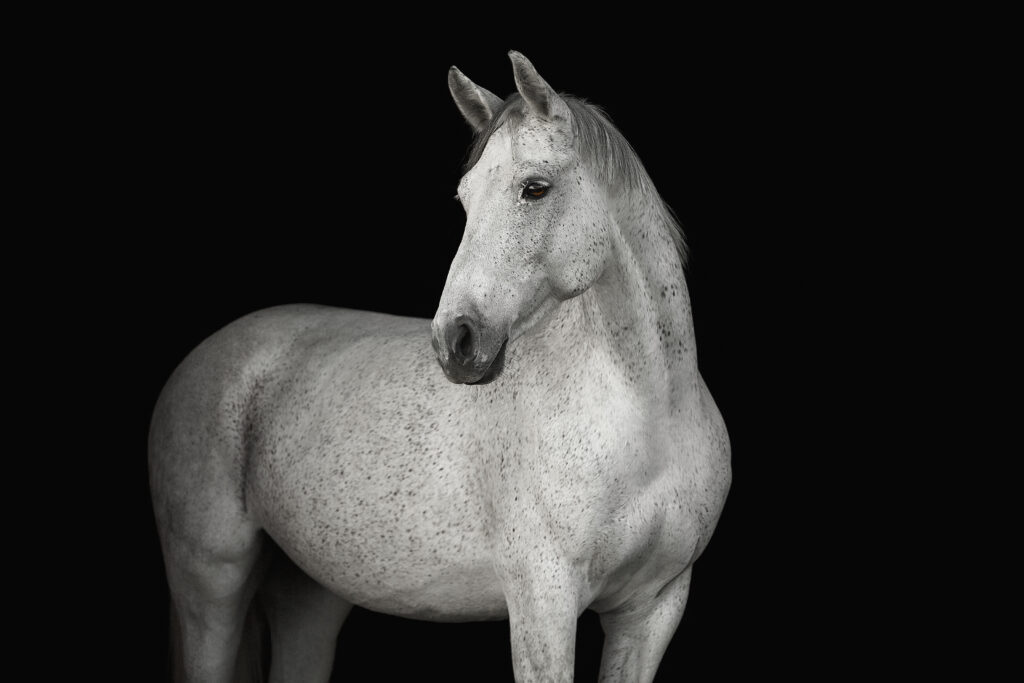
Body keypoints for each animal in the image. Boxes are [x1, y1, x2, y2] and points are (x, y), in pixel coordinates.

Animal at [149, 50, 731, 682]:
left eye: (535, 188)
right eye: (464, 198)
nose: (455, 339)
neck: (652, 420)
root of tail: (204, 358)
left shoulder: (652, 611)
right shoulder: (544, 606)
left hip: (310, 593)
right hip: (210, 584)